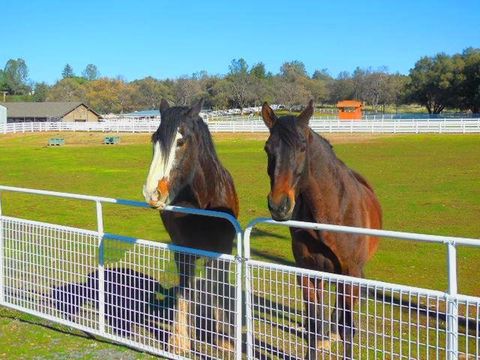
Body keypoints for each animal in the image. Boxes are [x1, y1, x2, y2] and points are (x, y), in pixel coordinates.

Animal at [142, 100, 240, 356]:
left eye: (180, 141)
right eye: (154, 139)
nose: (152, 193)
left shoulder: (222, 251)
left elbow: (218, 289)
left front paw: (224, 341)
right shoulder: (182, 251)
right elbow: (184, 289)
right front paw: (179, 341)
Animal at [260, 100, 380, 360]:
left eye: (302, 147)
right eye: (267, 148)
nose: (279, 205)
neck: (332, 214)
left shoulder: (350, 273)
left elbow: (347, 328)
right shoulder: (308, 272)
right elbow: (313, 325)